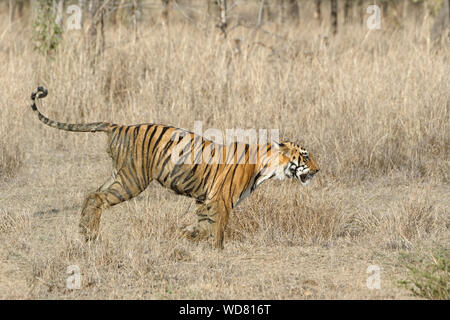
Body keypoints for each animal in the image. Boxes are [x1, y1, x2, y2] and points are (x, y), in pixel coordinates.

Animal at [29, 86, 318, 249]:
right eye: (305, 156)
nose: (318, 170)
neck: (267, 167)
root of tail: (119, 125)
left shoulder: (205, 200)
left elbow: (204, 225)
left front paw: (189, 236)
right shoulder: (221, 200)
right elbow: (218, 229)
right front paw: (217, 250)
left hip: (118, 175)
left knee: (91, 194)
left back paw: (85, 233)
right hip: (133, 180)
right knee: (99, 197)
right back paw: (91, 235)